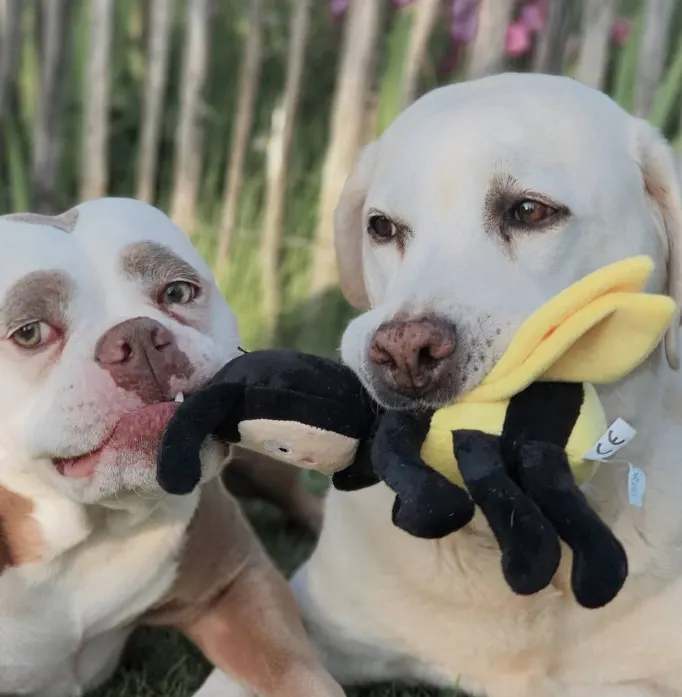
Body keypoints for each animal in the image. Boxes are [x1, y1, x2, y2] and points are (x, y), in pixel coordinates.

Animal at [0, 196, 340, 696]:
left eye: (177, 293)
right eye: (29, 333)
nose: (138, 337)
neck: (90, 527)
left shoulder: (237, 583)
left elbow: (300, 674)